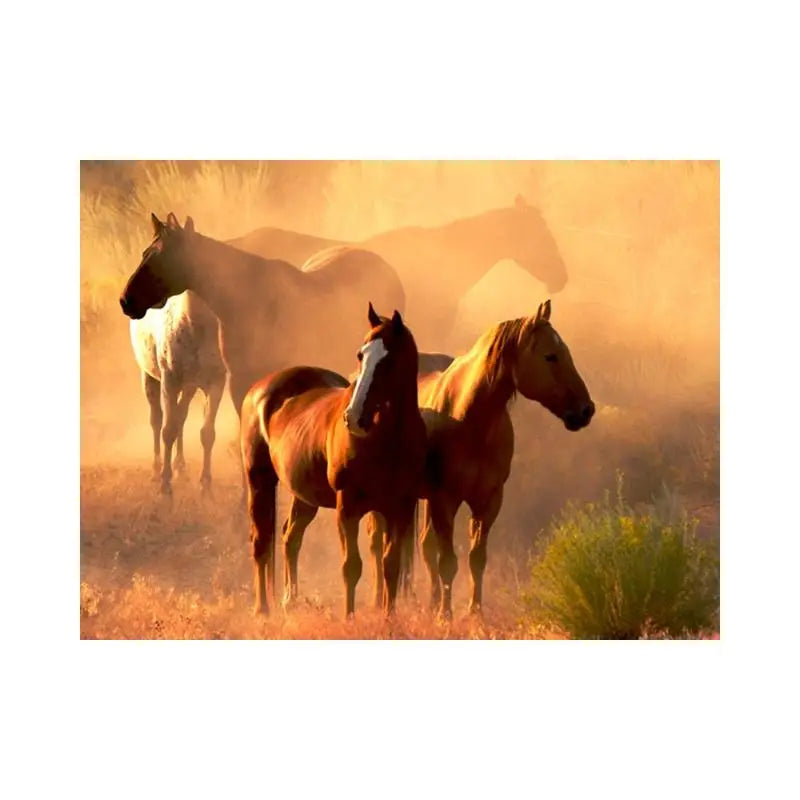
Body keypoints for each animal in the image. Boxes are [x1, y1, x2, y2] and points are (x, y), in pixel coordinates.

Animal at [119, 213, 406, 417]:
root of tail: (388, 268)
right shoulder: (238, 383)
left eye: (161, 258)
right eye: (145, 254)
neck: (247, 302)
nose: (125, 300)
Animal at [129, 283, 227, 495]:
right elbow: (167, 430)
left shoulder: (216, 383)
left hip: (189, 388)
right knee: (157, 420)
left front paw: (205, 485)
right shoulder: (169, 382)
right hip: (149, 378)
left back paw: (180, 466)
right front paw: (165, 485)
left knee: (181, 417)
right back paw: (156, 470)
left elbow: (207, 433)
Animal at [239, 303, 426, 617]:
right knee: (261, 541)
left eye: (388, 360)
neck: (388, 440)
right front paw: (349, 619)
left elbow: (390, 564)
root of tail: (259, 390)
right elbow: (351, 567)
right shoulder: (347, 506)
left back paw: (290, 600)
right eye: (361, 355)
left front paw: (389, 618)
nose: (354, 417)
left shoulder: (400, 507)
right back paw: (262, 608)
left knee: (290, 537)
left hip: (305, 496)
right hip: (259, 481)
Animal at [367, 299, 594, 617]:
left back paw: (430, 602)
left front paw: (474, 614)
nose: (586, 409)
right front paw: (445, 617)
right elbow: (448, 561)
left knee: (423, 547)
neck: (469, 418)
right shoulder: (445, 500)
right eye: (551, 356)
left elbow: (476, 558)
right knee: (378, 545)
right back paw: (380, 602)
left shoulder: (488, 501)